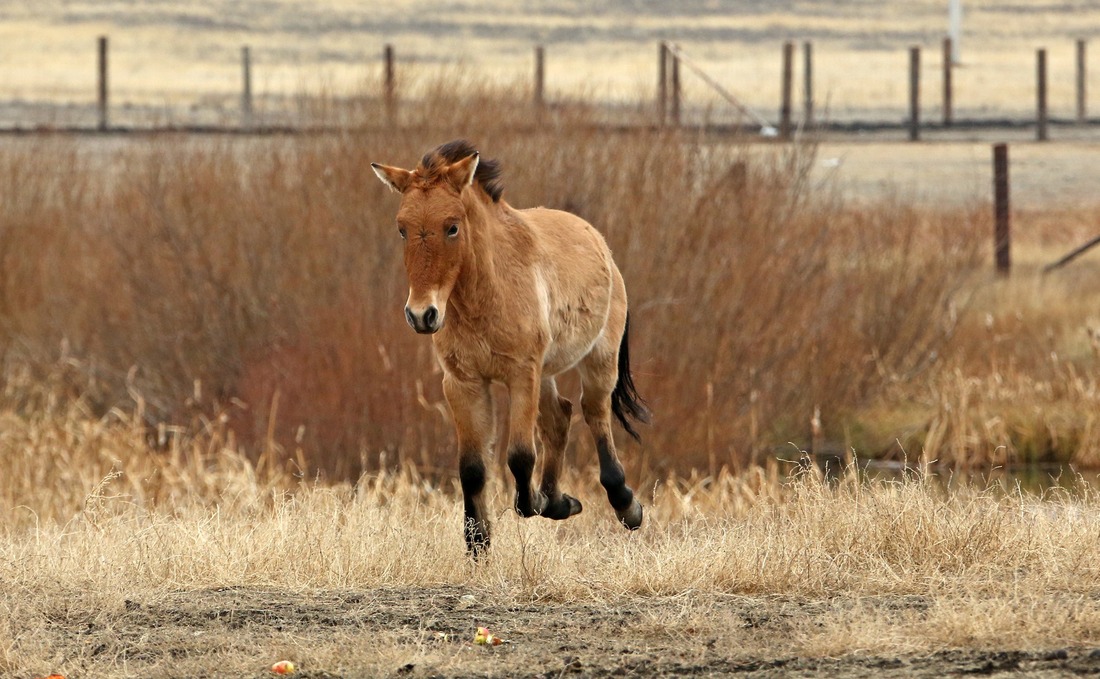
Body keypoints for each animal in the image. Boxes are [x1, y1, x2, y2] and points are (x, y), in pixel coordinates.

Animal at [374, 140, 646, 552]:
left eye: (452, 227)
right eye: (402, 228)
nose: (422, 315)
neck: (485, 295)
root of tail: (599, 242)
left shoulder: (521, 373)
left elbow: (519, 457)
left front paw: (533, 503)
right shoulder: (464, 383)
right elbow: (472, 469)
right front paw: (479, 544)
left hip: (598, 360)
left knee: (594, 413)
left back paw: (624, 504)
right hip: (546, 373)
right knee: (560, 417)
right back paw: (560, 501)